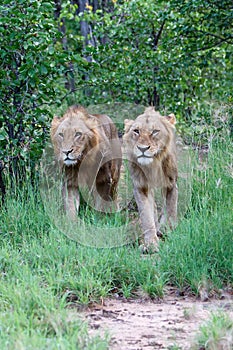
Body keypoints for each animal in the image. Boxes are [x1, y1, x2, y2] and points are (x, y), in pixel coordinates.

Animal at [123, 107, 177, 252]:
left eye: (155, 131)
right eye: (136, 131)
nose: (142, 149)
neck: (153, 164)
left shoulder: (171, 183)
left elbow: (170, 208)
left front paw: (169, 231)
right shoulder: (141, 187)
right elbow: (147, 215)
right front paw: (151, 244)